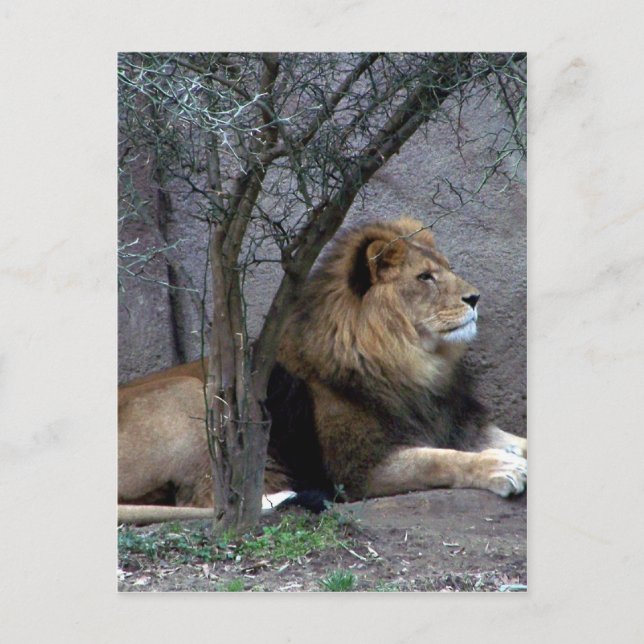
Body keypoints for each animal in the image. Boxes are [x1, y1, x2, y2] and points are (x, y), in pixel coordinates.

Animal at [118, 217, 526, 522]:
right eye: (425, 277)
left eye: (448, 270)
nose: (475, 298)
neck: (413, 364)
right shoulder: (360, 467)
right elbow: (440, 460)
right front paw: (500, 468)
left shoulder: (457, 424)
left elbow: (511, 441)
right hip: (195, 394)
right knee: (209, 501)